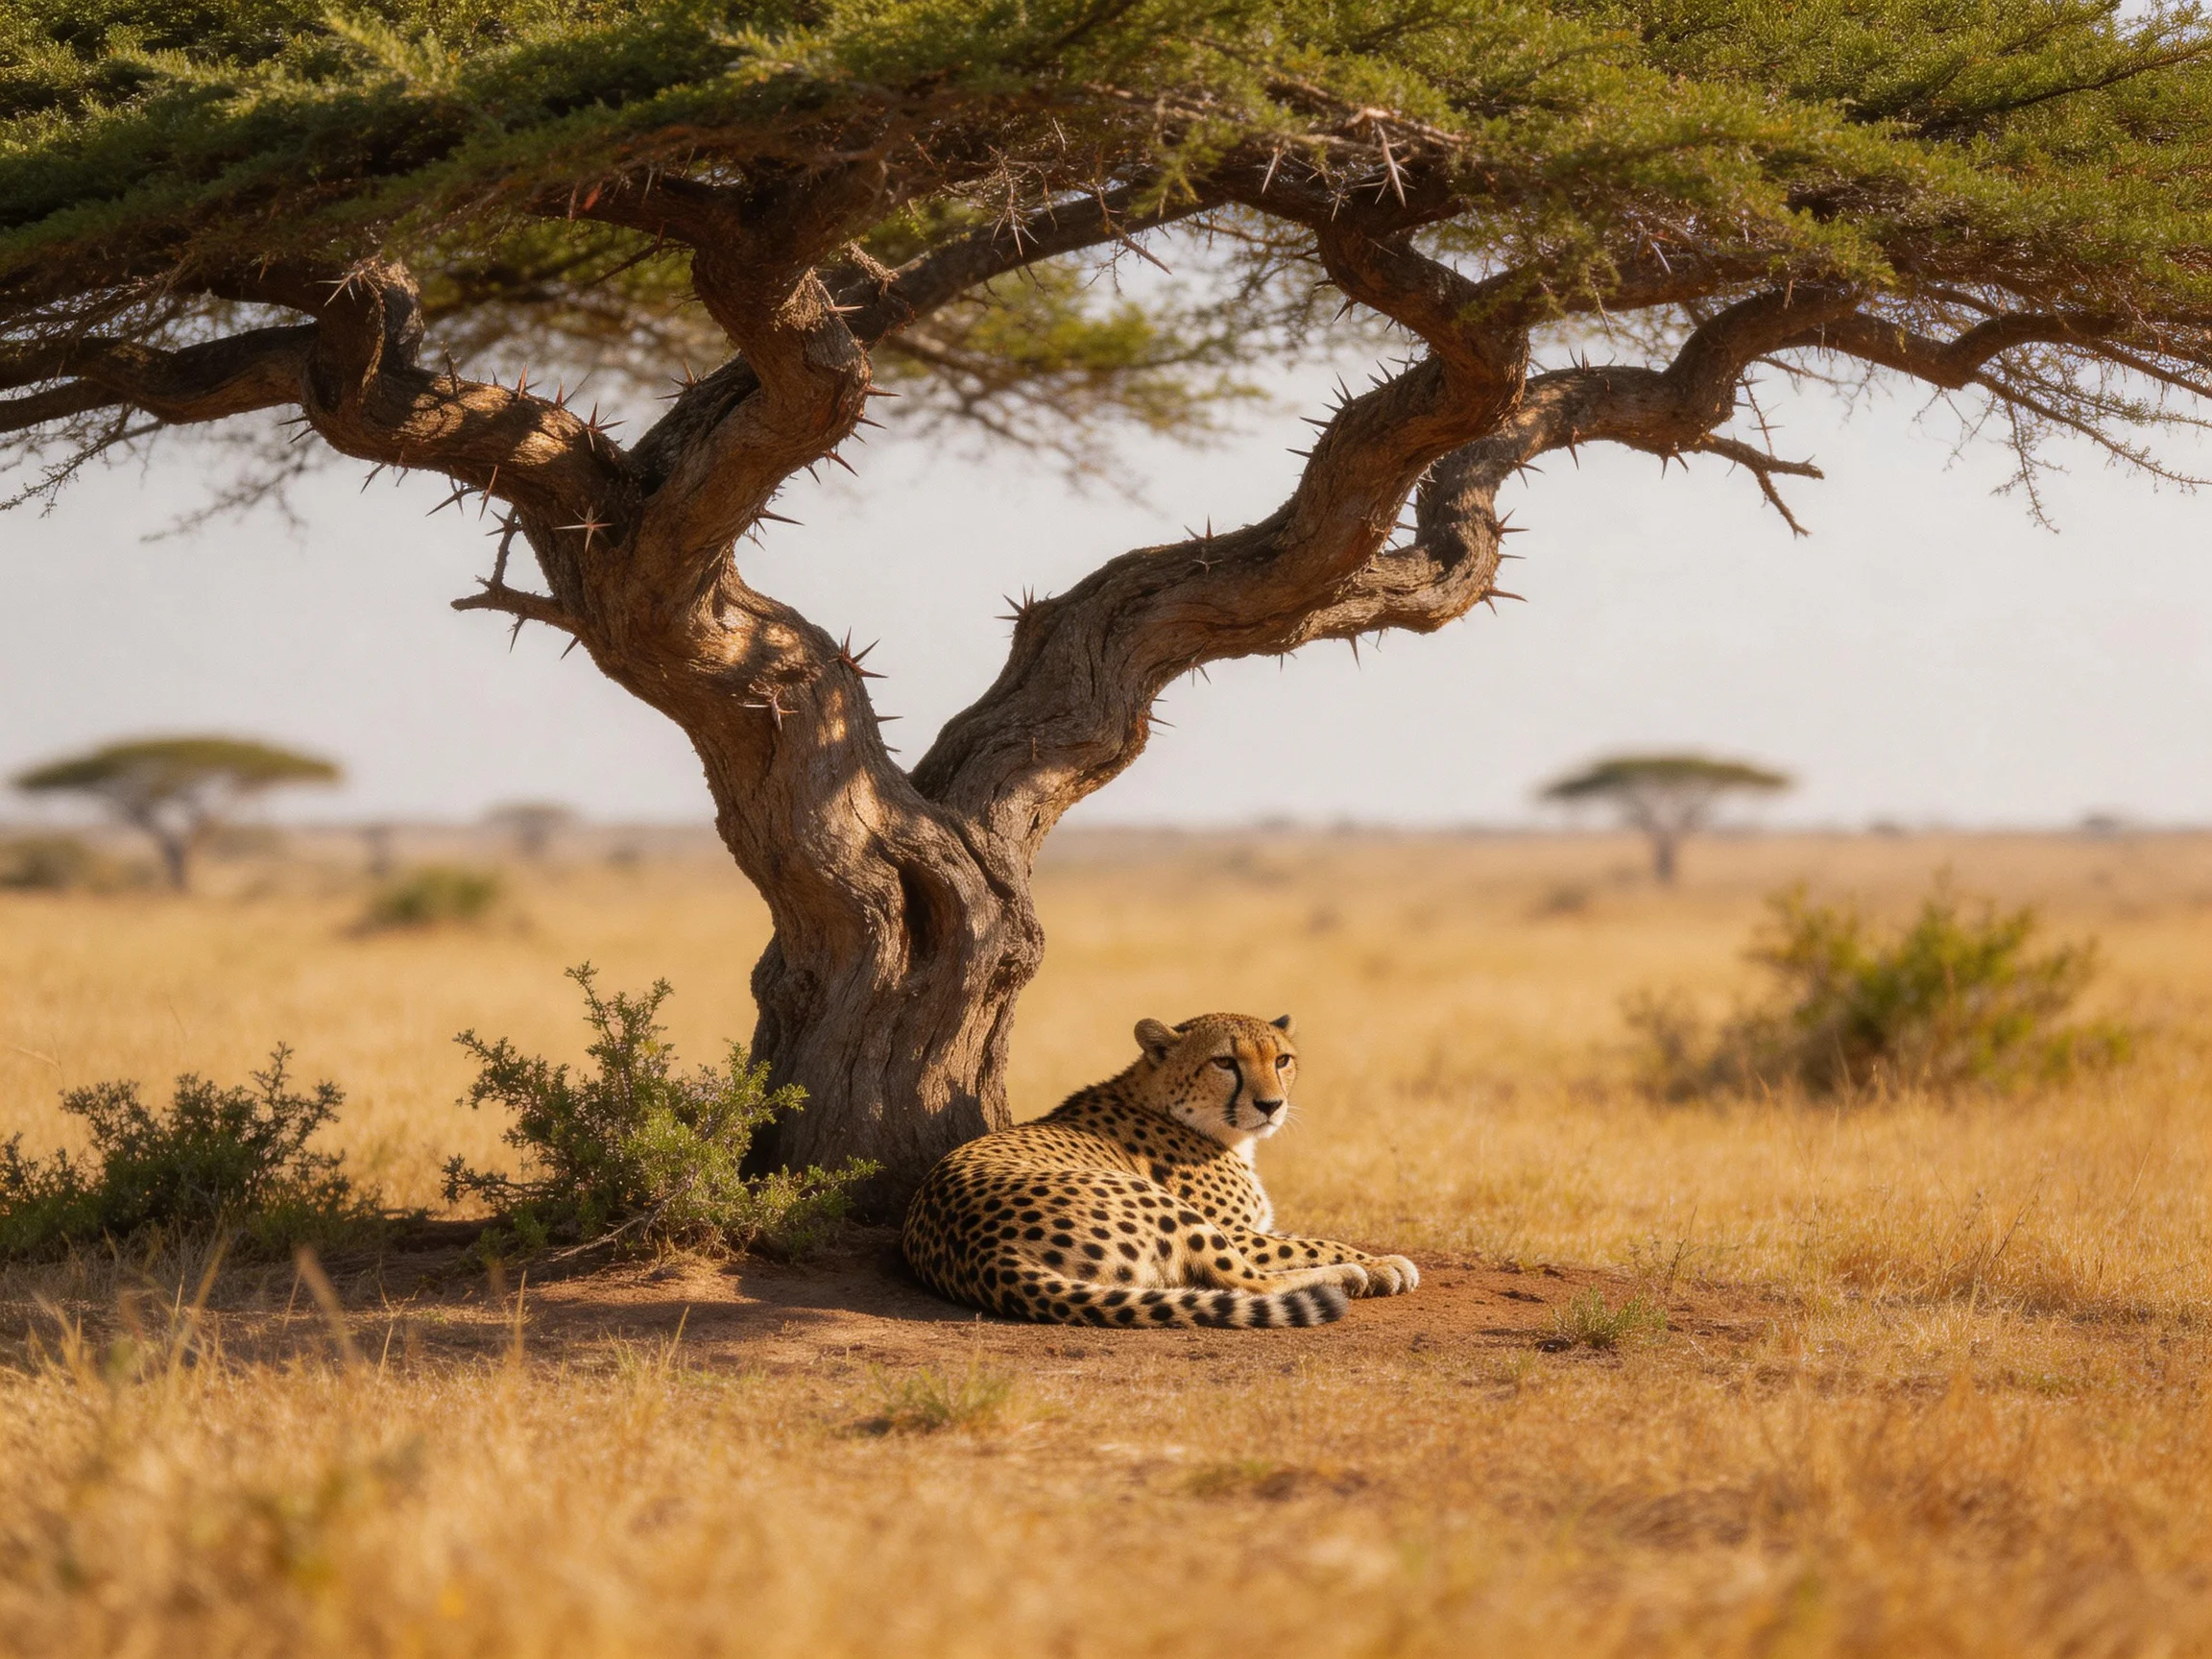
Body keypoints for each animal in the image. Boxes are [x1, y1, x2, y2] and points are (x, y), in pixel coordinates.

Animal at [901, 1012, 1420, 1328]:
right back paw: (1346, 1277)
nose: (1271, 1105)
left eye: (1282, 1059)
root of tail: (987, 1255)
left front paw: (1379, 1261)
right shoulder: (1237, 1230)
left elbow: (1301, 1236)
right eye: (1225, 1062)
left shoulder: (1254, 1227)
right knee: (1246, 1282)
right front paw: (1381, 1264)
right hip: (1162, 1206)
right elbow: (1312, 1243)